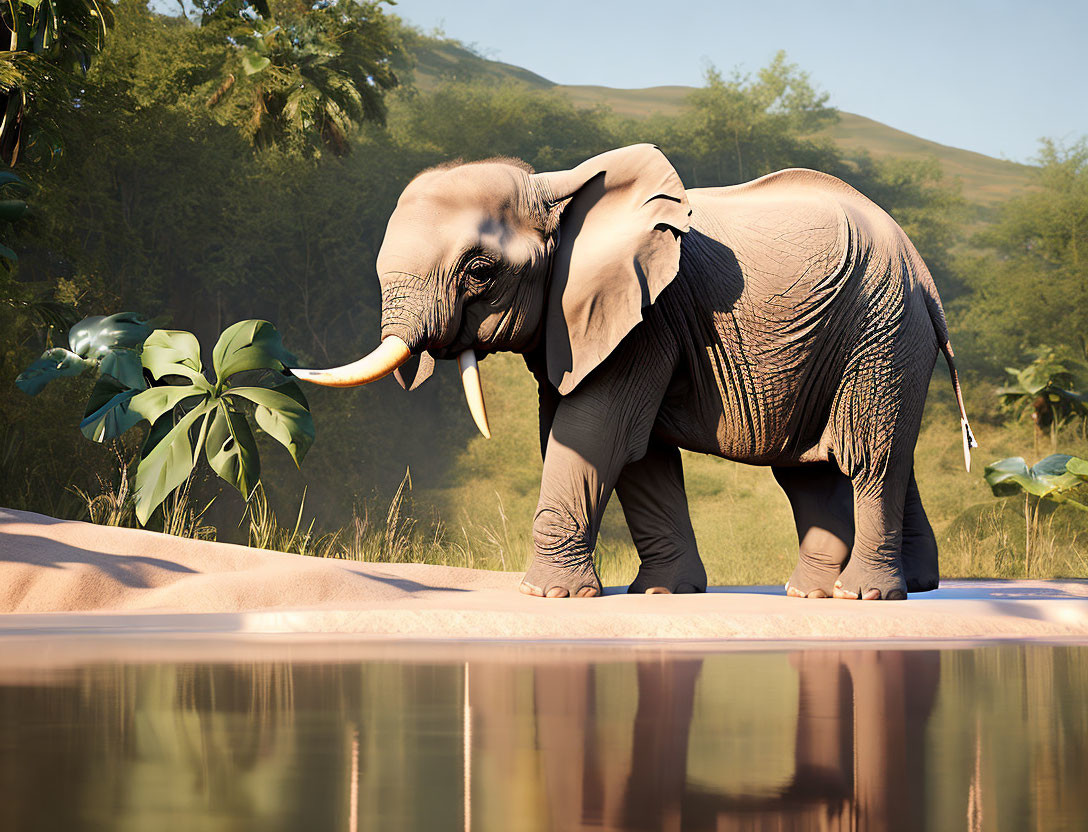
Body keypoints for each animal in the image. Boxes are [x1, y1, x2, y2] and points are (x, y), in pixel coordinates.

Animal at [293, 141, 974, 595]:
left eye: (480, 272)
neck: (558, 190)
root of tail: (923, 269)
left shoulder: (649, 313)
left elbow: (598, 431)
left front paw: (548, 595)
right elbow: (635, 451)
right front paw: (662, 592)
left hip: (882, 328)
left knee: (869, 454)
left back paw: (862, 595)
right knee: (820, 466)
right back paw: (844, 590)